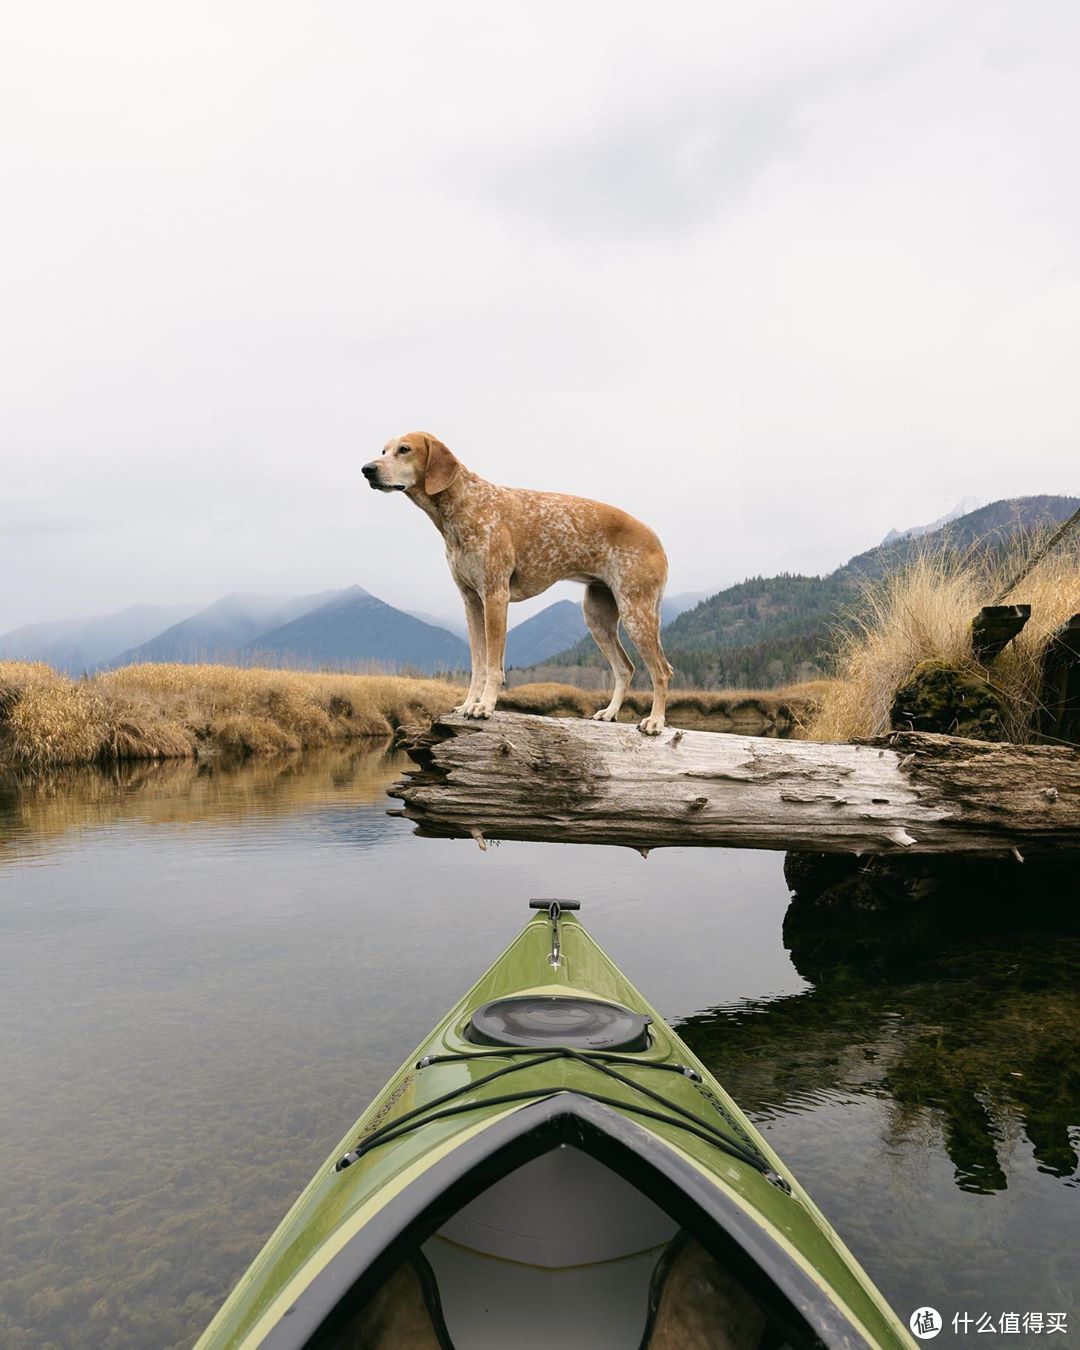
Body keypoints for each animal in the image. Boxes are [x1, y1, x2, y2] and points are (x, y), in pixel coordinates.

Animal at [361, 432, 669, 734]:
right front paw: (468, 704)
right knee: (625, 668)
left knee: (662, 671)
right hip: (598, 618)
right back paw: (610, 712)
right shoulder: (471, 601)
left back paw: (655, 721)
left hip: (636, 614)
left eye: (404, 449)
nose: (367, 469)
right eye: (384, 450)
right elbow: (478, 664)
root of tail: (656, 539)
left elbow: (493, 666)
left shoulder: (495, 596)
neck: (466, 505)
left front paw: (484, 706)